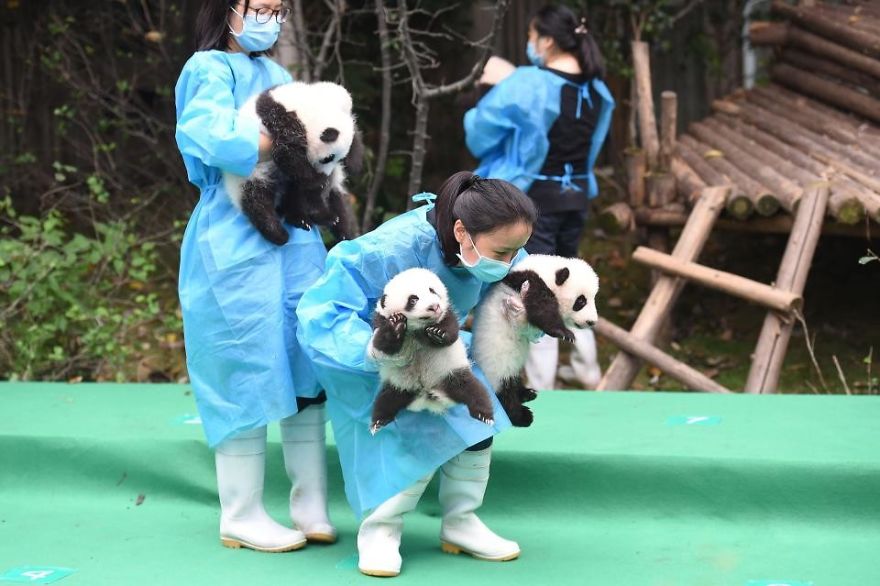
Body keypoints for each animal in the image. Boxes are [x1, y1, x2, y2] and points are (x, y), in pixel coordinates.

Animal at [223, 81, 363, 246]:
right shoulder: (278, 119)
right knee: (258, 201)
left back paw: (336, 229)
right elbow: (286, 152)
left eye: (339, 159)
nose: (325, 174)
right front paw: (318, 179)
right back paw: (279, 233)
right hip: (249, 176)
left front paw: (354, 163)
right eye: (327, 158)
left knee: (328, 199)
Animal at [367, 268, 495, 435]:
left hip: (452, 374)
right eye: (413, 300)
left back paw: (484, 415)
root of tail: (428, 394)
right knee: (385, 401)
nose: (434, 306)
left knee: (474, 391)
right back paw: (378, 422)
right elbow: (382, 346)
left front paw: (438, 333)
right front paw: (396, 325)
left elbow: (451, 332)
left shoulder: (447, 313)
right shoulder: (380, 321)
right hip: (397, 384)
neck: (418, 329)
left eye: (432, 290)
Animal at [472, 255, 600, 427]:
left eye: (593, 298)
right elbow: (541, 308)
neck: (547, 270)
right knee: (504, 394)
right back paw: (522, 416)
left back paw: (527, 393)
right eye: (581, 301)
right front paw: (565, 333)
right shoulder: (530, 282)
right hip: (495, 365)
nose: (591, 322)